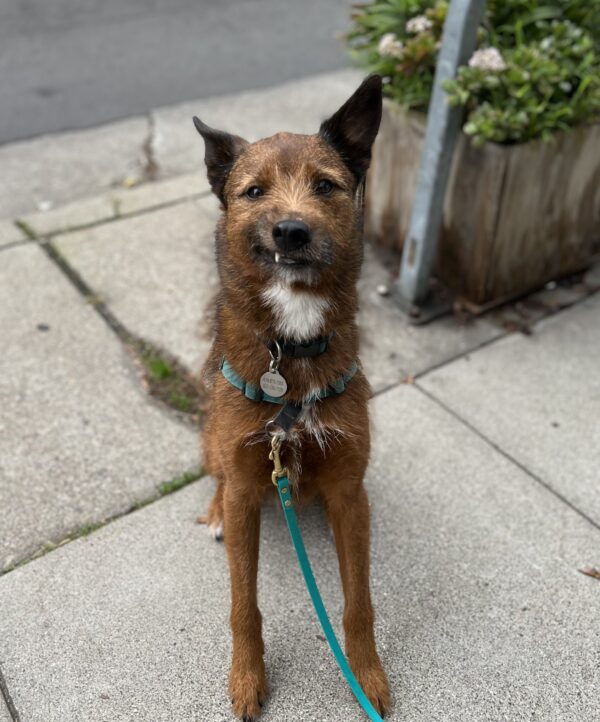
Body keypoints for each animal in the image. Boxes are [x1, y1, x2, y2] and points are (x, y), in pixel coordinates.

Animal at [193, 76, 390, 716]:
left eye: (325, 185)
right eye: (254, 191)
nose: (291, 230)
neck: (293, 344)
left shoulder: (350, 491)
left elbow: (358, 603)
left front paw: (366, 674)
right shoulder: (249, 483)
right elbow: (243, 605)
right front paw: (248, 677)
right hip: (214, 442)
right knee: (216, 475)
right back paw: (212, 510)